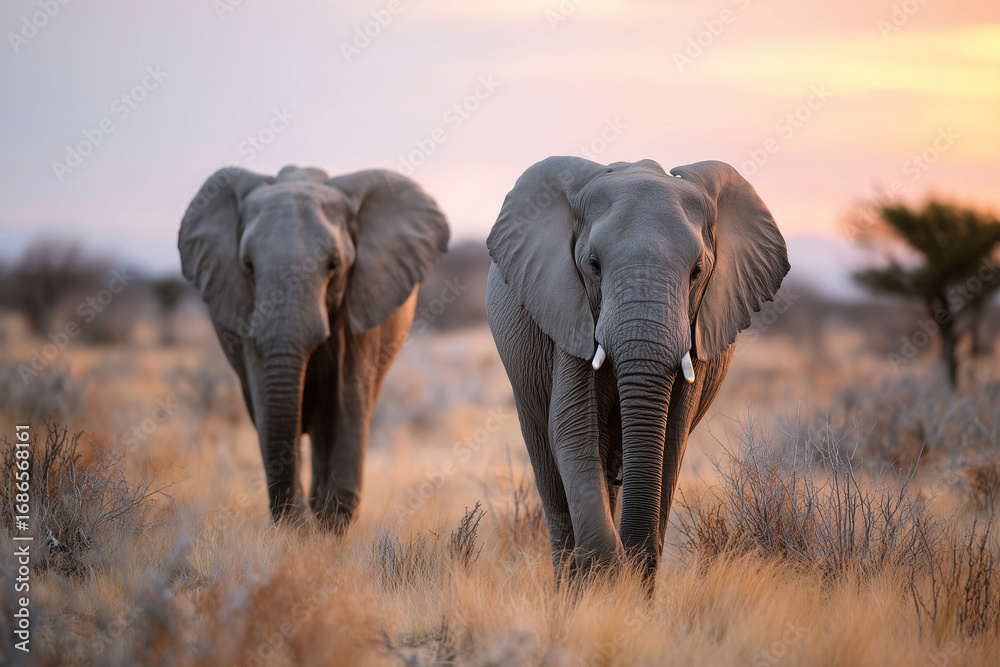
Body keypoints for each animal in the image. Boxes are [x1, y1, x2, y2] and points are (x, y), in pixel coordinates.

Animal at [179, 165, 449, 531]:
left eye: (333, 265)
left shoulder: (361, 299)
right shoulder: (244, 306)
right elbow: (265, 395)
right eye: (248, 266)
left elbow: (348, 394)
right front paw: (302, 528)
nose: (299, 521)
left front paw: (330, 527)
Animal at [485, 157, 789, 582]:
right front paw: (608, 581)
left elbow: (671, 439)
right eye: (593, 266)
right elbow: (574, 430)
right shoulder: (569, 311)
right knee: (551, 477)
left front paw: (632, 578)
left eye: (697, 270)